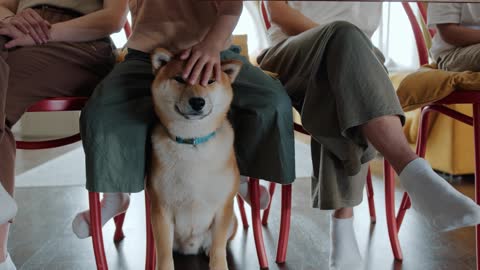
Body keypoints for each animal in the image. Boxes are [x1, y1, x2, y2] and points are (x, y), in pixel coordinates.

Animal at [146, 48, 242, 270]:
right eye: (180, 79)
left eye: (210, 81)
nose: (198, 102)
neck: (192, 143)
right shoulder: (161, 210)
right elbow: (164, 254)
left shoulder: (223, 207)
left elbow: (218, 248)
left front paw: (218, 264)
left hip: (233, 220)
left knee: (217, 243)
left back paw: (206, 249)